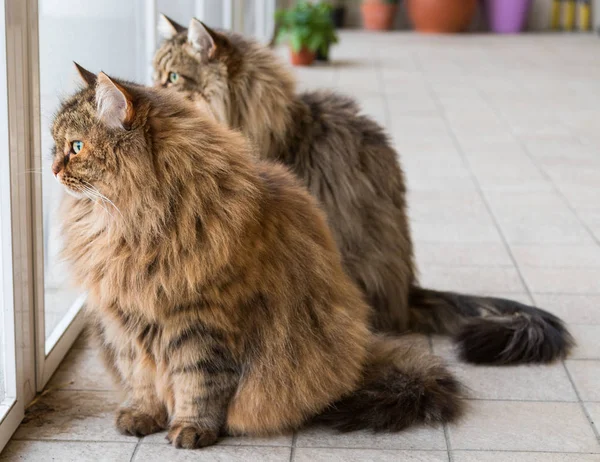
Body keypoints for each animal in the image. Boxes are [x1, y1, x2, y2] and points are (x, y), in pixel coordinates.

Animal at [51, 65, 464, 448]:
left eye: (76, 147)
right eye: (55, 145)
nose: (53, 168)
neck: (132, 225)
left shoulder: (200, 321)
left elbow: (198, 383)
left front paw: (191, 429)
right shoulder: (124, 321)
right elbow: (141, 379)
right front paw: (141, 416)